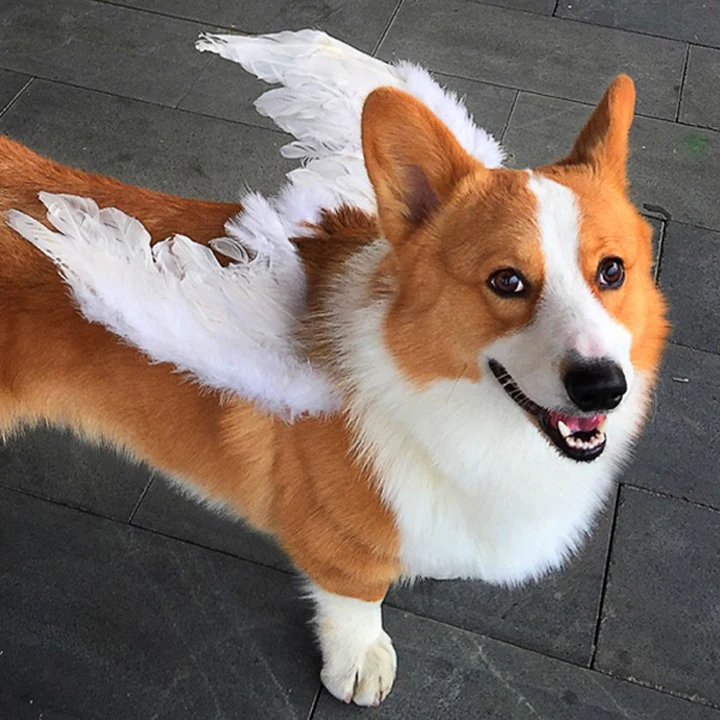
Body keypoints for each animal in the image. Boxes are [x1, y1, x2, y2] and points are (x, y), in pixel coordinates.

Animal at [0, 32, 668, 704]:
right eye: (507, 281)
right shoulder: (340, 541)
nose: (603, 387)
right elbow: (356, 597)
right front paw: (359, 661)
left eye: (612, 271)